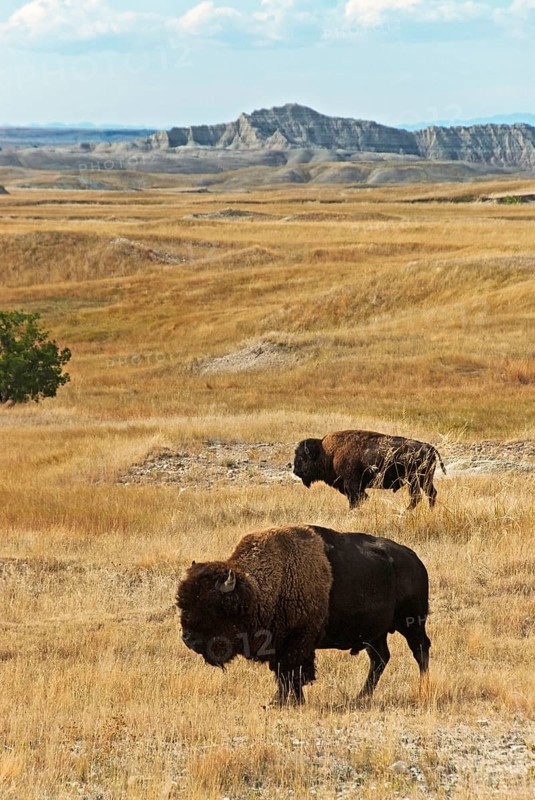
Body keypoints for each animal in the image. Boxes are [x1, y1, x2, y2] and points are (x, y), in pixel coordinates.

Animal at [177, 524, 430, 706]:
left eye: (212, 607)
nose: (188, 639)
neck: (256, 589)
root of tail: (414, 559)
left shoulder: (299, 641)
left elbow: (294, 672)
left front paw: (290, 702)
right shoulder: (279, 645)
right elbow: (283, 674)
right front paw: (279, 701)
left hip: (412, 623)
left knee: (420, 650)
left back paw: (423, 687)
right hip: (375, 633)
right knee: (380, 659)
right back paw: (360, 697)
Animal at [293, 429, 446, 510]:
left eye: (301, 458)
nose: (295, 471)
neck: (327, 453)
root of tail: (430, 447)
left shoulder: (352, 485)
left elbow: (357, 499)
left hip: (416, 480)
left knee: (418, 496)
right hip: (422, 480)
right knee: (429, 494)